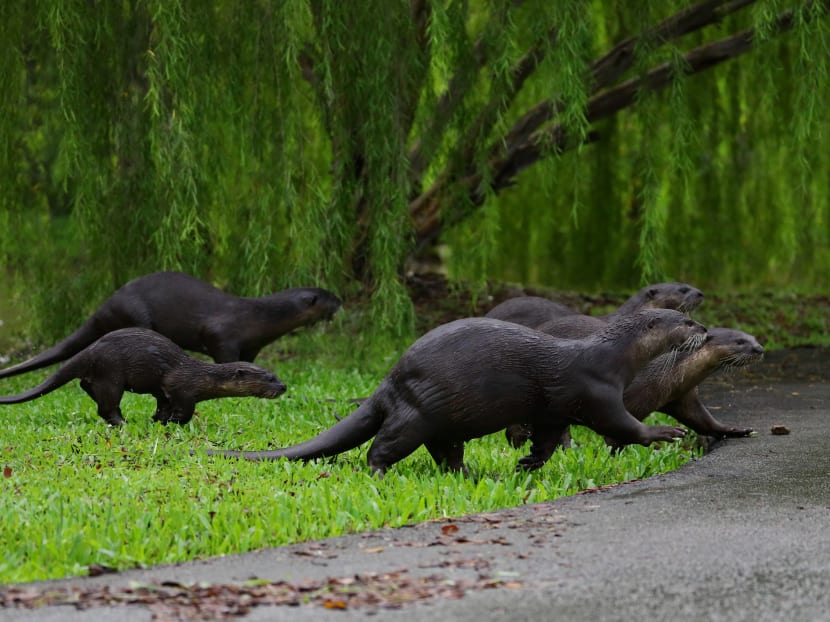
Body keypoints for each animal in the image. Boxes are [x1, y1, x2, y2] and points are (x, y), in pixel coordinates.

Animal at [0, 272, 342, 380]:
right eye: (329, 297)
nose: (341, 301)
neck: (256, 316)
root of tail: (106, 304)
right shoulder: (222, 334)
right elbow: (223, 355)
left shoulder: (253, 345)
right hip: (134, 312)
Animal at [0, 330, 290, 426]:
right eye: (269, 377)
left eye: (277, 376)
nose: (284, 386)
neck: (200, 376)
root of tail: (91, 349)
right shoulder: (182, 387)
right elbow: (184, 409)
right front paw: (172, 422)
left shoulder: (164, 390)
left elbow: (162, 403)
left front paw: (158, 419)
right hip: (112, 373)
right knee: (107, 406)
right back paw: (122, 423)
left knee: (87, 386)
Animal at [208, 310, 708, 478]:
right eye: (683, 320)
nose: (704, 329)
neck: (612, 356)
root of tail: (391, 381)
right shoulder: (595, 390)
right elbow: (621, 424)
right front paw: (664, 434)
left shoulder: (555, 407)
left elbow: (548, 437)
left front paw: (527, 462)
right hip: (417, 413)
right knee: (383, 446)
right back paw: (381, 473)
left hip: (443, 418)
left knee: (444, 450)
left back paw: (466, 472)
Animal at [504, 326, 764, 454]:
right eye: (739, 341)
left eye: (754, 337)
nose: (760, 349)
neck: (668, 373)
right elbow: (615, 433)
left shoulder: (682, 396)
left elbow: (705, 422)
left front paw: (737, 430)